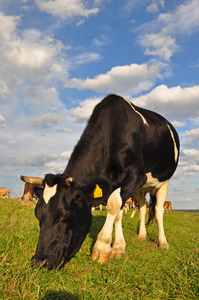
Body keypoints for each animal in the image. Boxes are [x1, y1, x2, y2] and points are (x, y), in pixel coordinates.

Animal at [20, 94, 179, 270]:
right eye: (38, 215)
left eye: (63, 216)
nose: (39, 262)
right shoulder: (117, 183)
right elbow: (117, 212)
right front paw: (118, 247)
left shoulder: (136, 175)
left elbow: (114, 205)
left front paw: (102, 247)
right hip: (140, 189)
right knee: (143, 208)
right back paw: (142, 235)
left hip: (164, 181)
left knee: (157, 210)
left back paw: (162, 242)